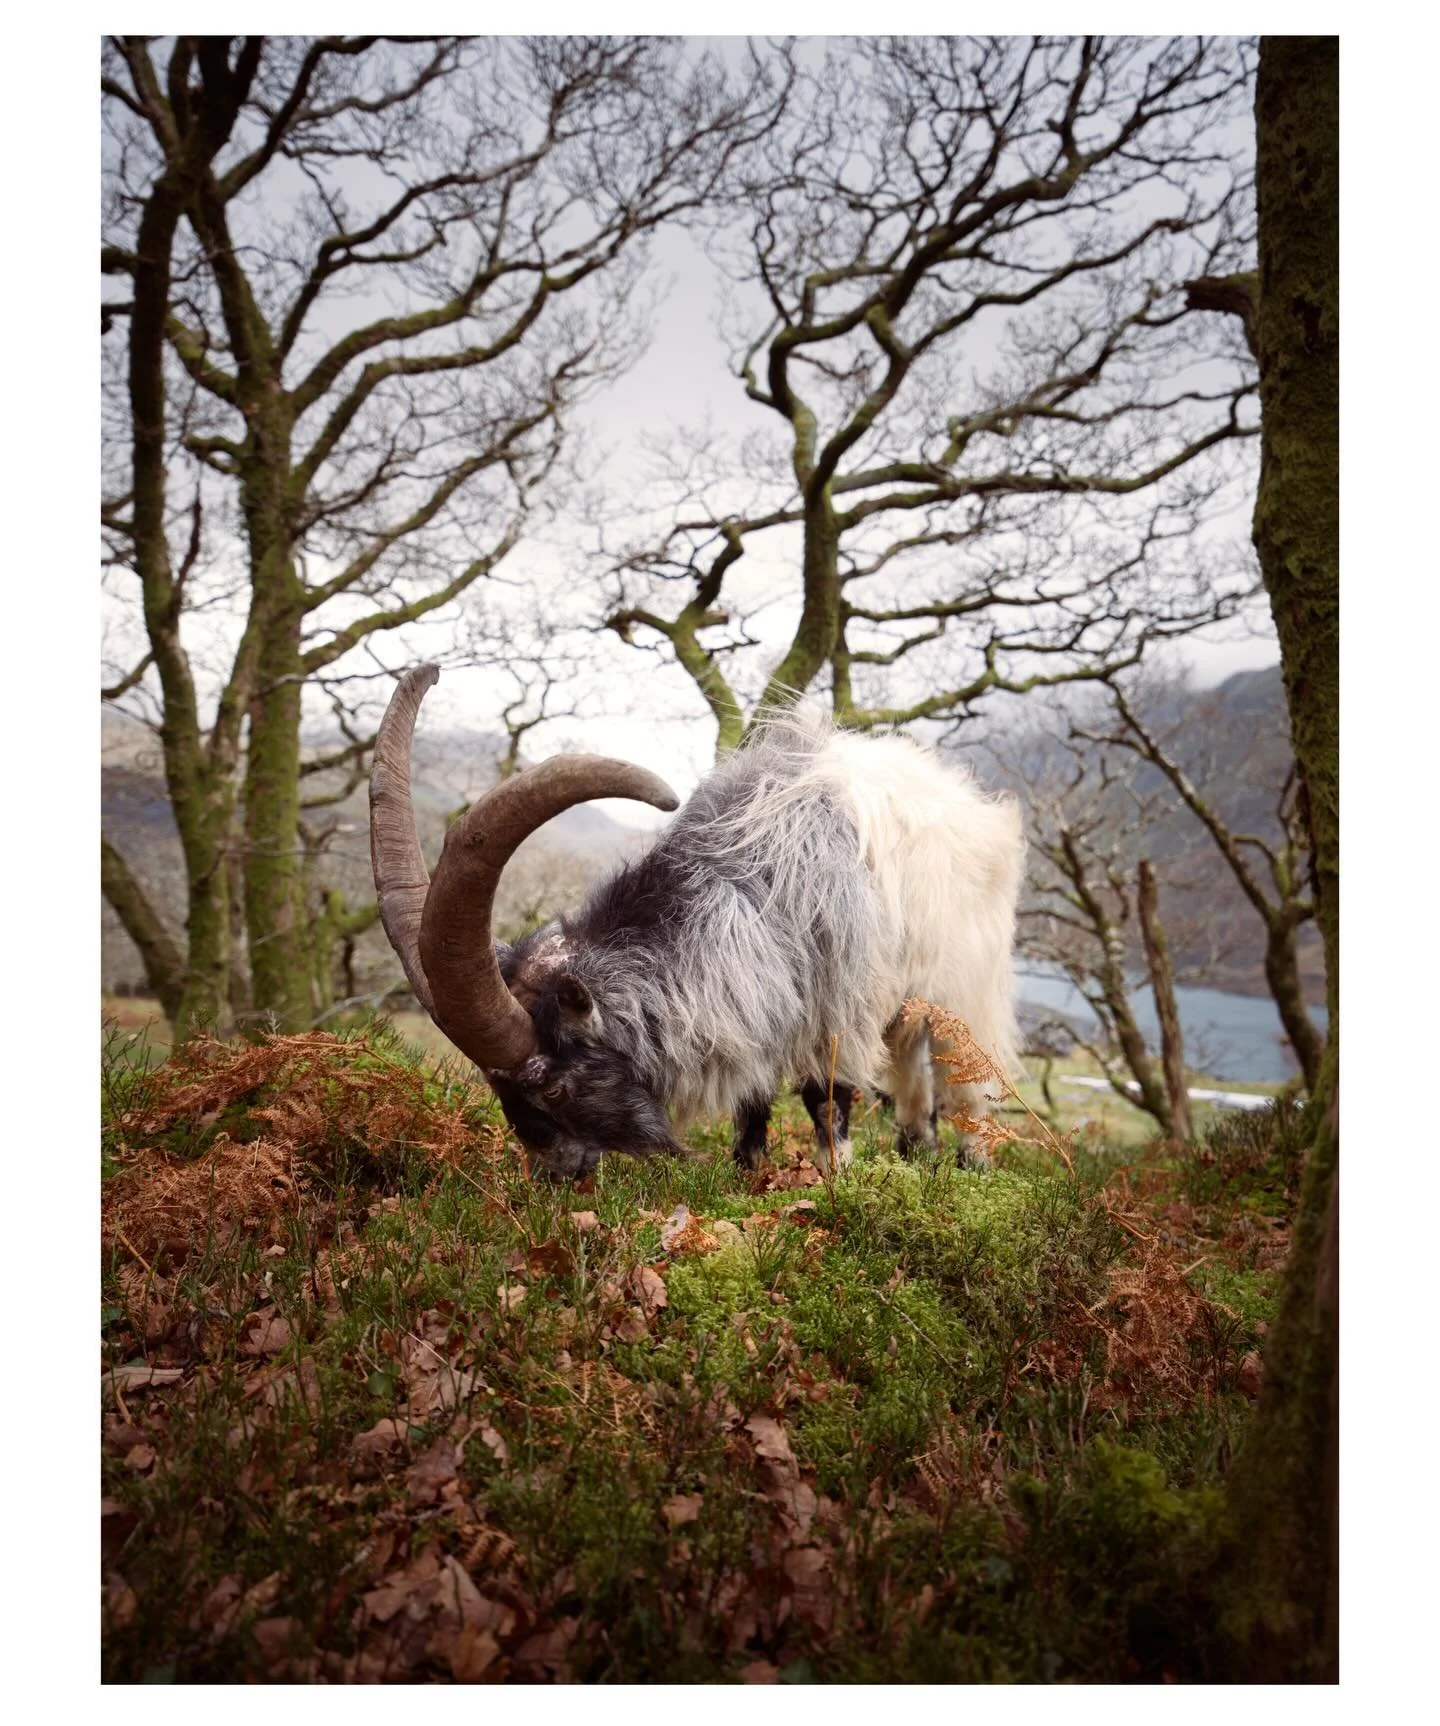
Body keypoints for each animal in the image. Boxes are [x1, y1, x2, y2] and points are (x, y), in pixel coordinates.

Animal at [371, 665, 1023, 1179]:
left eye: (551, 1085)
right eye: (496, 1089)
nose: (555, 1175)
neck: (749, 887)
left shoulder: (838, 1005)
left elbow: (826, 1096)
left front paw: (834, 1177)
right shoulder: (766, 1003)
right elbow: (753, 1096)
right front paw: (747, 1168)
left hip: (966, 983)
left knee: (966, 1074)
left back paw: (971, 1162)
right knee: (913, 1064)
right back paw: (916, 1149)